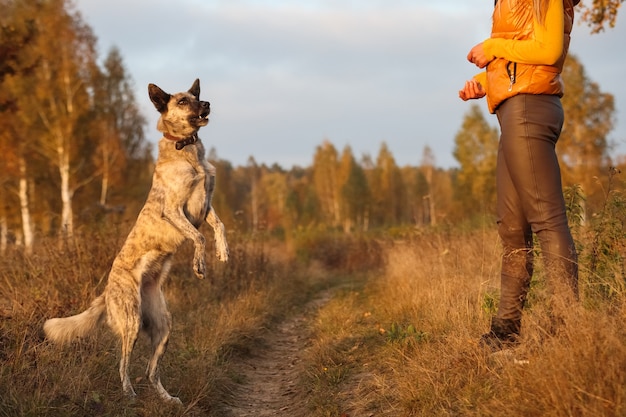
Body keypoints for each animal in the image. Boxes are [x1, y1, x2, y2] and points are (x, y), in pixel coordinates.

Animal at [44, 78, 229, 404]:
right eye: (183, 101)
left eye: (197, 95)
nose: (206, 104)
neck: (188, 151)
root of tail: (107, 291)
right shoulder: (175, 210)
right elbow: (198, 236)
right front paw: (200, 264)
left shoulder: (206, 205)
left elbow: (218, 226)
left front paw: (223, 252)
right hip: (130, 321)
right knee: (123, 365)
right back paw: (129, 393)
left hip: (164, 325)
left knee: (151, 371)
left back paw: (167, 399)